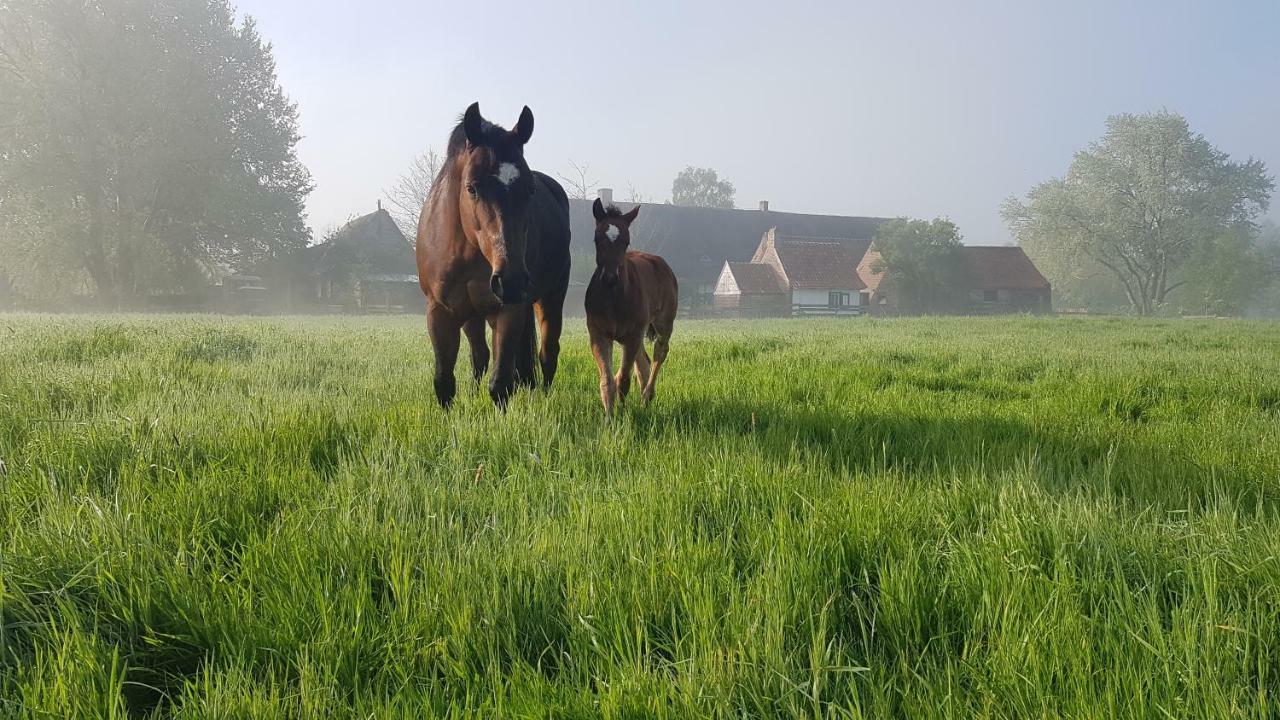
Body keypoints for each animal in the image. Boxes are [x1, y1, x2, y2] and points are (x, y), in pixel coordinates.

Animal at [414, 105, 570, 409]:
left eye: (530, 190)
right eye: (472, 187)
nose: (511, 280)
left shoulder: (508, 310)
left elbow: (500, 384)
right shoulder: (440, 312)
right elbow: (444, 381)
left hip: (550, 298)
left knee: (547, 354)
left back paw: (542, 398)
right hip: (474, 315)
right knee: (481, 356)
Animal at [586, 197, 680, 415]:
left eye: (626, 242)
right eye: (597, 239)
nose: (610, 278)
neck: (614, 299)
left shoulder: (631, 336)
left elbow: (623, 380)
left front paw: (623, 413)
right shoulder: (599, 334)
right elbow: (607, 381)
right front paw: (609, 416)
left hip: (662, 324)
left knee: (659, 353)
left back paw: (647, 395)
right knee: (643, 361)